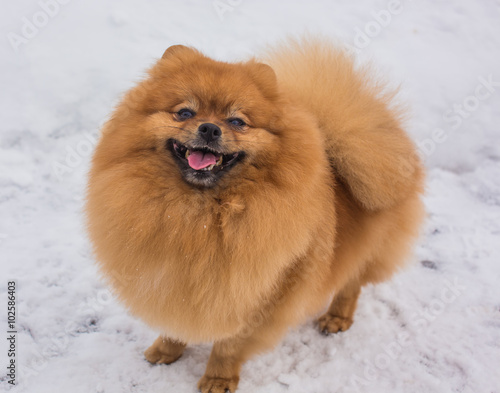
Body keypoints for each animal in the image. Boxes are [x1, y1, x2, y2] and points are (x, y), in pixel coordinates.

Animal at [87, 37, 426, 392]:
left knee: (352, 284)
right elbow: (175, 324)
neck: (200, 212)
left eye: (237, 121)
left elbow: (229, 345)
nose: (209, 128)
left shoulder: (262, 295)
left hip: (370, 249)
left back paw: (337, 317)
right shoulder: (171, 282)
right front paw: (166, 350)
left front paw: (218, 379)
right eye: (184, 113)